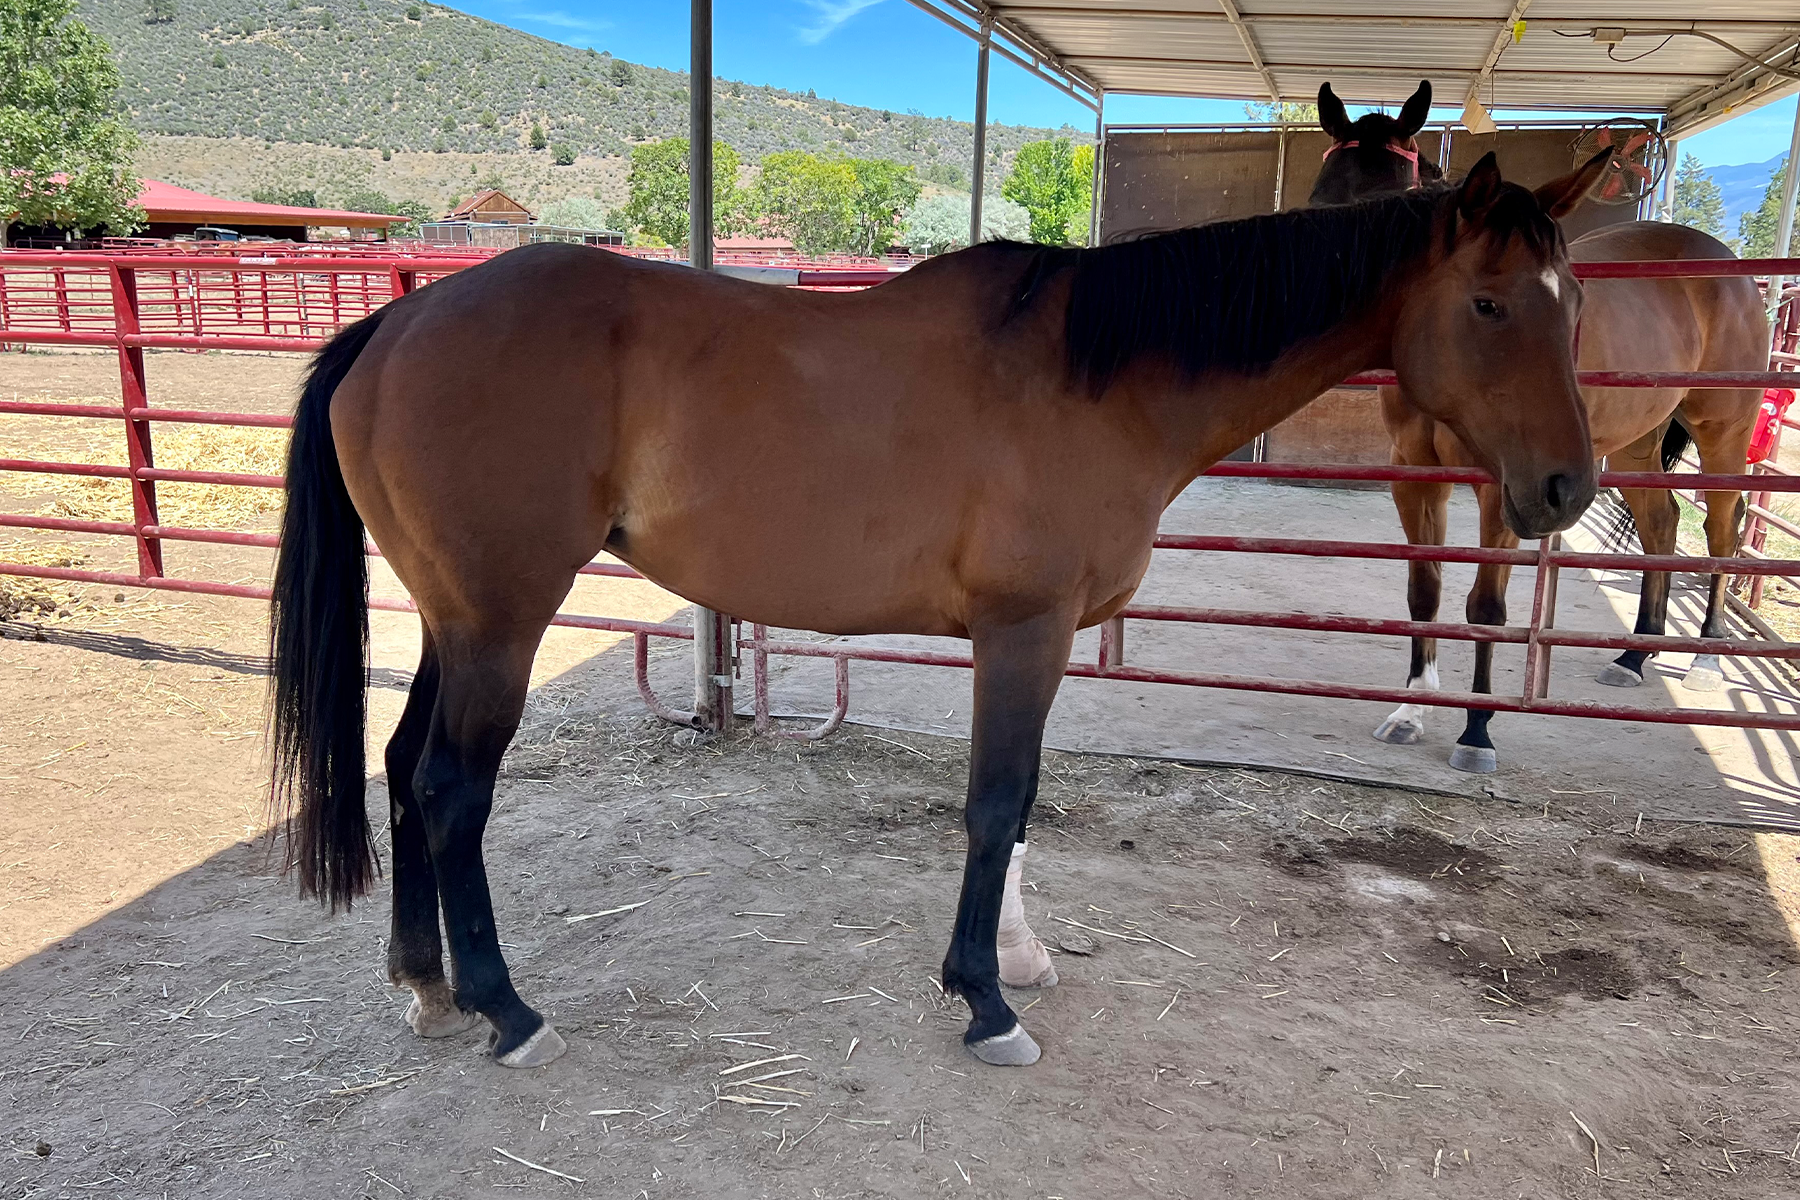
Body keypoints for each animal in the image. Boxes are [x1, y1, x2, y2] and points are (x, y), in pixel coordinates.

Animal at [267, 152, 1604, 1071]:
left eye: (1573, 303)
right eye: (1490, 305)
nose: (1566, 488)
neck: (1099, 375)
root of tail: (397, 321)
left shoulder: (1035, 642)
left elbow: (1017, 812)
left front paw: (1009, 966)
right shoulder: (1026, 631)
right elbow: (995, 804)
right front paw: (988, 1002)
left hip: (455, 619)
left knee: (403, 768)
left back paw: (426, 985)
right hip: (503, 618)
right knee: (453, 789)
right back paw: (506, 1008)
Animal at [1307, 82, 1767, 773]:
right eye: (1321, 201)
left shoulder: (1504, 487)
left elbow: (1485, 606)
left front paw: (1476, 729)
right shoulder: (1415, 474)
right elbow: (1424, 591)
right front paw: (1412, 708)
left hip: (1723, 434)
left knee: (1721, 528)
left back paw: (1708, 660)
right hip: (1633, 446)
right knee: (1661, 524)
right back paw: (1634, 655)